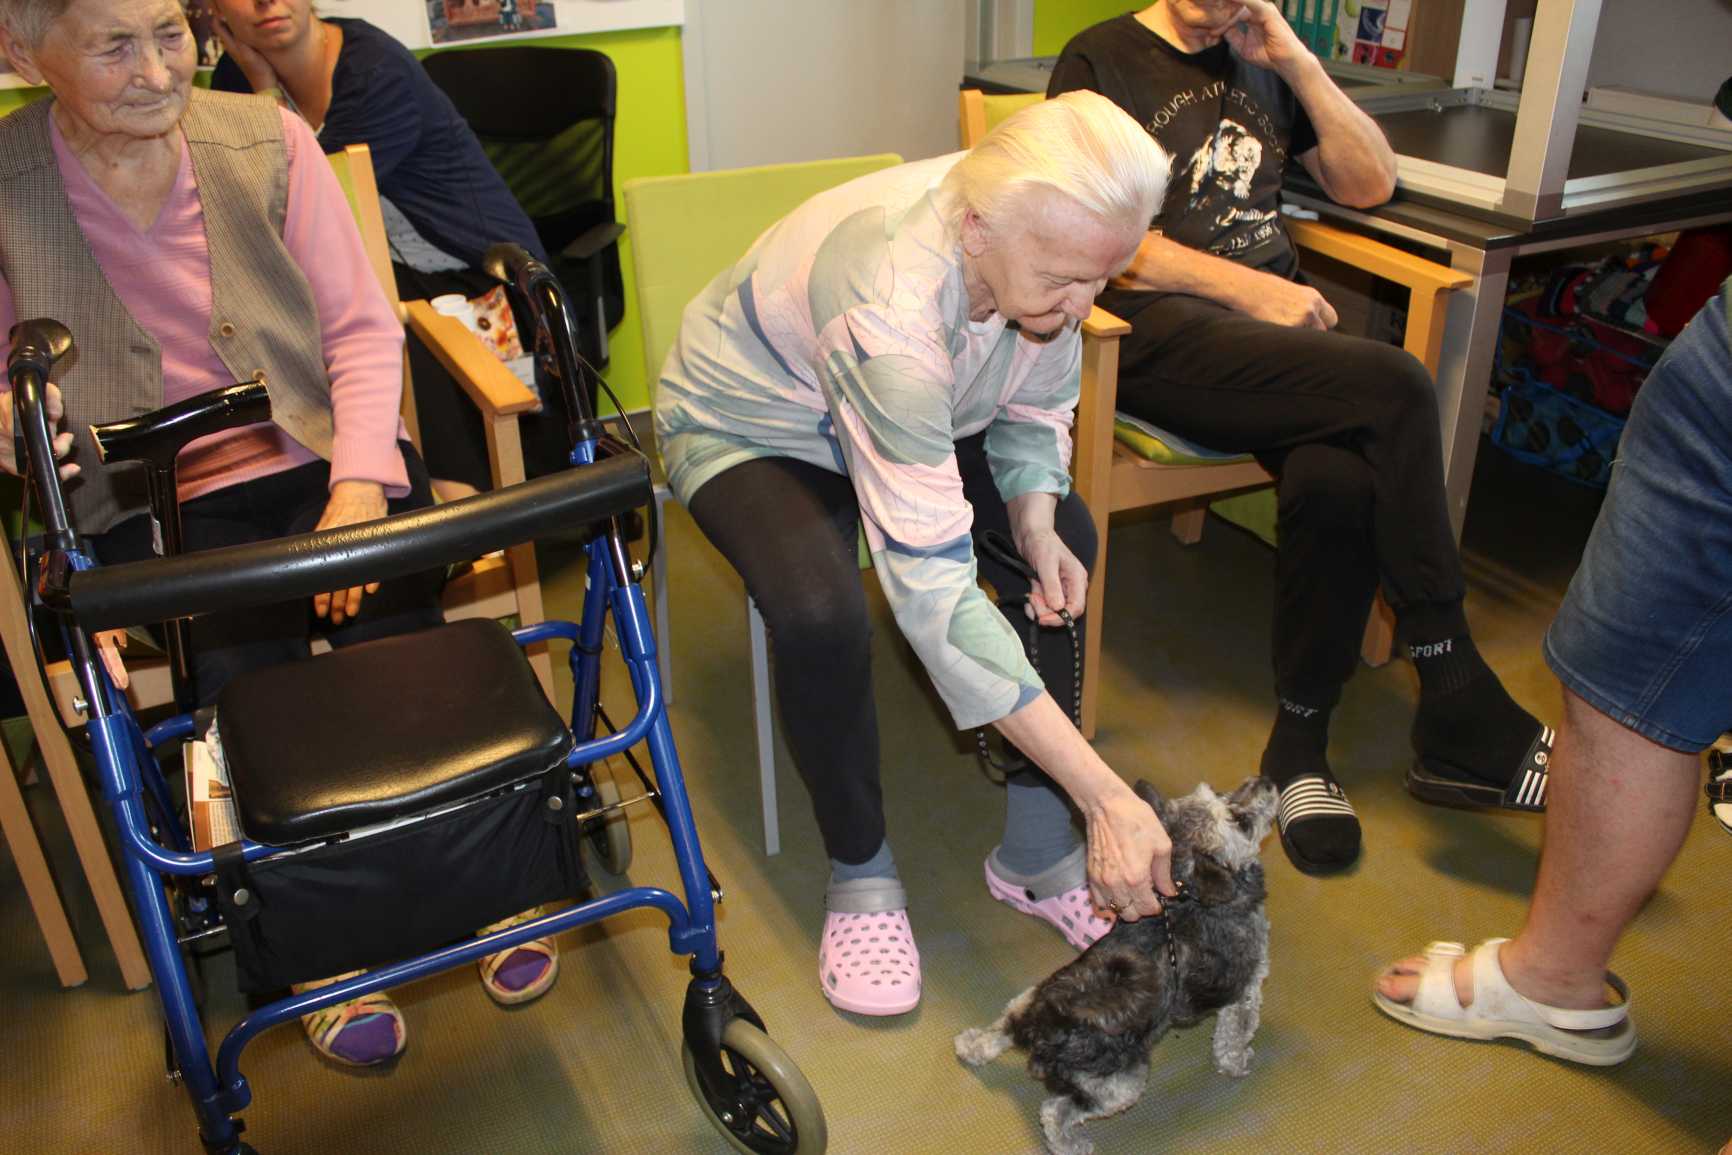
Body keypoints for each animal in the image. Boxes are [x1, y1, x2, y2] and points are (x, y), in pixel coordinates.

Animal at [955, 777, 1278, 1155]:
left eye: (1222, 791)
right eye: (1241, 821)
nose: (1264, 780)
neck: (1188, 898)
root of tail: (1045, 1026)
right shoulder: (1245, 990)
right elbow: (1234, 1036)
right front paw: (1237, 1062)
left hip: (1027, 999)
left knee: (1002, 1028)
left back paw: (972, 1045)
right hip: (1120, 1083)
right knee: (1055, 1111)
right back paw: (1070, 1144)